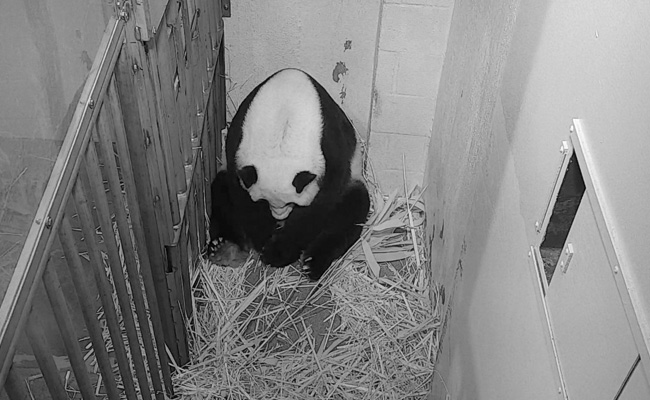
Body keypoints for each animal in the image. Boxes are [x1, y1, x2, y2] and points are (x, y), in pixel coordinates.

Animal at [209, 68, 370, 281]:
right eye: (264, 201)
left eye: (291, 203)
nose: (279, 217)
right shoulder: (238, 142)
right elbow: (242, 197)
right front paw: (264, 237)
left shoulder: (331, 146)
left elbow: (322, 204)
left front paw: (278, 251)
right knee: (221, 194)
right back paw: (226, 250)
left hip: (355, 180)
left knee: (350, 212)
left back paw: (313, 263)